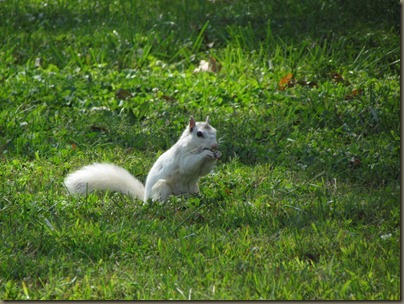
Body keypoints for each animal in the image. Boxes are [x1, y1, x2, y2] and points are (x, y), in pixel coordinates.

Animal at [64, 116, 221, 202]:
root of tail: (145, 199)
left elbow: (203, 171)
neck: (193, 145)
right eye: (199, 134)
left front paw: (217, 155)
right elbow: (188, 165)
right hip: (162, 187)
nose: (214, 145)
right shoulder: (181, 155)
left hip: (193, 189)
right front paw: (206, 154)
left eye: (215, 131)